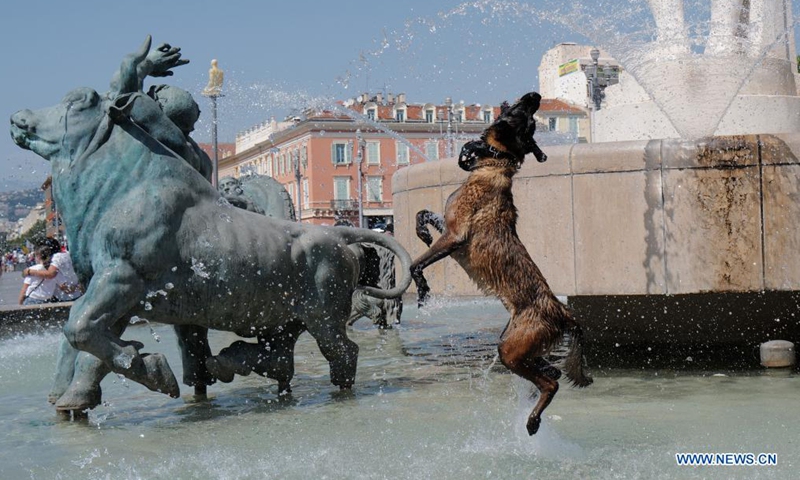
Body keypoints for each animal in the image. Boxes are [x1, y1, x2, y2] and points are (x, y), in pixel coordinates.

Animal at [410, 91, 592, 436]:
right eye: (525, 114)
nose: (535, 95)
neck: (493, 165)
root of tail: (562, 311)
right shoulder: (449, 229)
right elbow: (422, 213)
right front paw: (421, 231)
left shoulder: (454, 238)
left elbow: (416, 265)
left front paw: (424, 291)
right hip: (512, 343)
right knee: (551, 372)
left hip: (511, 350)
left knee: (551, 383)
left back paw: (533, 421)